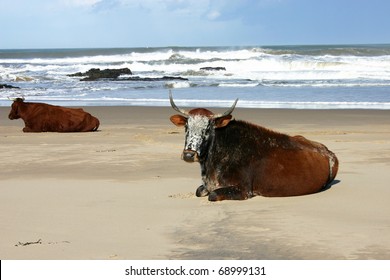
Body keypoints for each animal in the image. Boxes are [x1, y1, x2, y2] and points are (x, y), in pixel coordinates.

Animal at [169, 93, 340, 201]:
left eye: (207, 128)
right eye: (186, 127)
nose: (189, 155)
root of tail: (327, 150)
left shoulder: (243, 189)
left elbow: (213, 195)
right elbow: (199, 191)